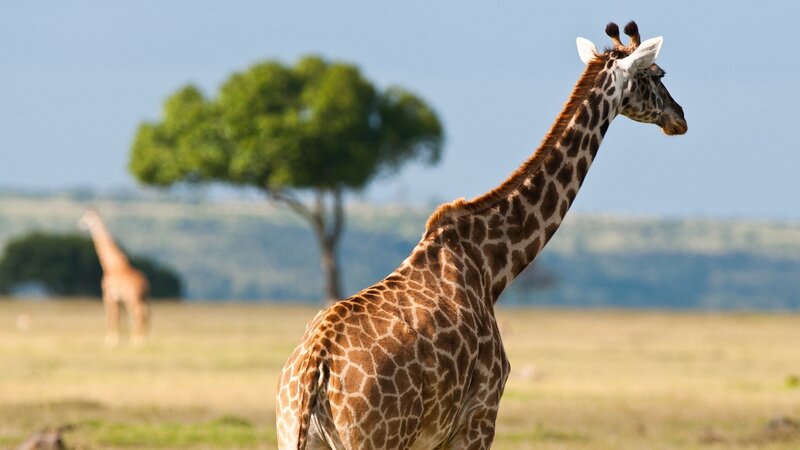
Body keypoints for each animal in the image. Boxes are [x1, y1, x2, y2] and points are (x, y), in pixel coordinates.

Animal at [78, 209, 150, 346]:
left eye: (87, 217)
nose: (80, 224)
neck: (111, 265)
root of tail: (145, 283)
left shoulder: (108, 295)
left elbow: (111, 316)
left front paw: (110, 340)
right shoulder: (118, 298)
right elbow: (119, 318)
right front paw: (118, 339)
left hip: (132, 297)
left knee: (138, 313)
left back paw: (137, 340)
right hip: (144, 297)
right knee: (146, 313)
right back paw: (142, 338)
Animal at [277, 21, 686, 449]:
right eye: (658, 74)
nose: (680, 117)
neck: (493, 267)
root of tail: (312, 371)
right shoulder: (480, 416)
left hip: (295, 434)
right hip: (376, 438)